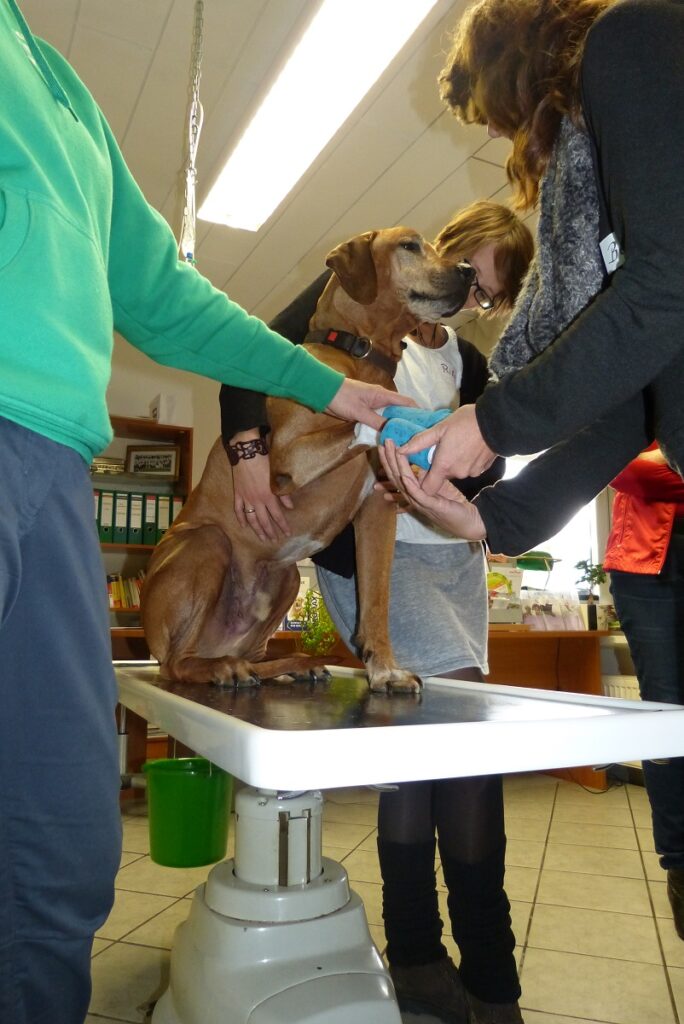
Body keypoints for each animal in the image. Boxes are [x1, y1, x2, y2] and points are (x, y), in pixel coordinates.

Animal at [141, 227, 474, 692]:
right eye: (409, 245)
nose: (469, 269)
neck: (359, 354)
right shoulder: (289, 456)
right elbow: (367, 419)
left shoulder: (377, 510)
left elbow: (376, 600)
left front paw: (384, 669)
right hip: (206, 544)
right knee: (176, 663)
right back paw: (220, 669)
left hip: (286, 579)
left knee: (252, 655)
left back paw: (287, 666)